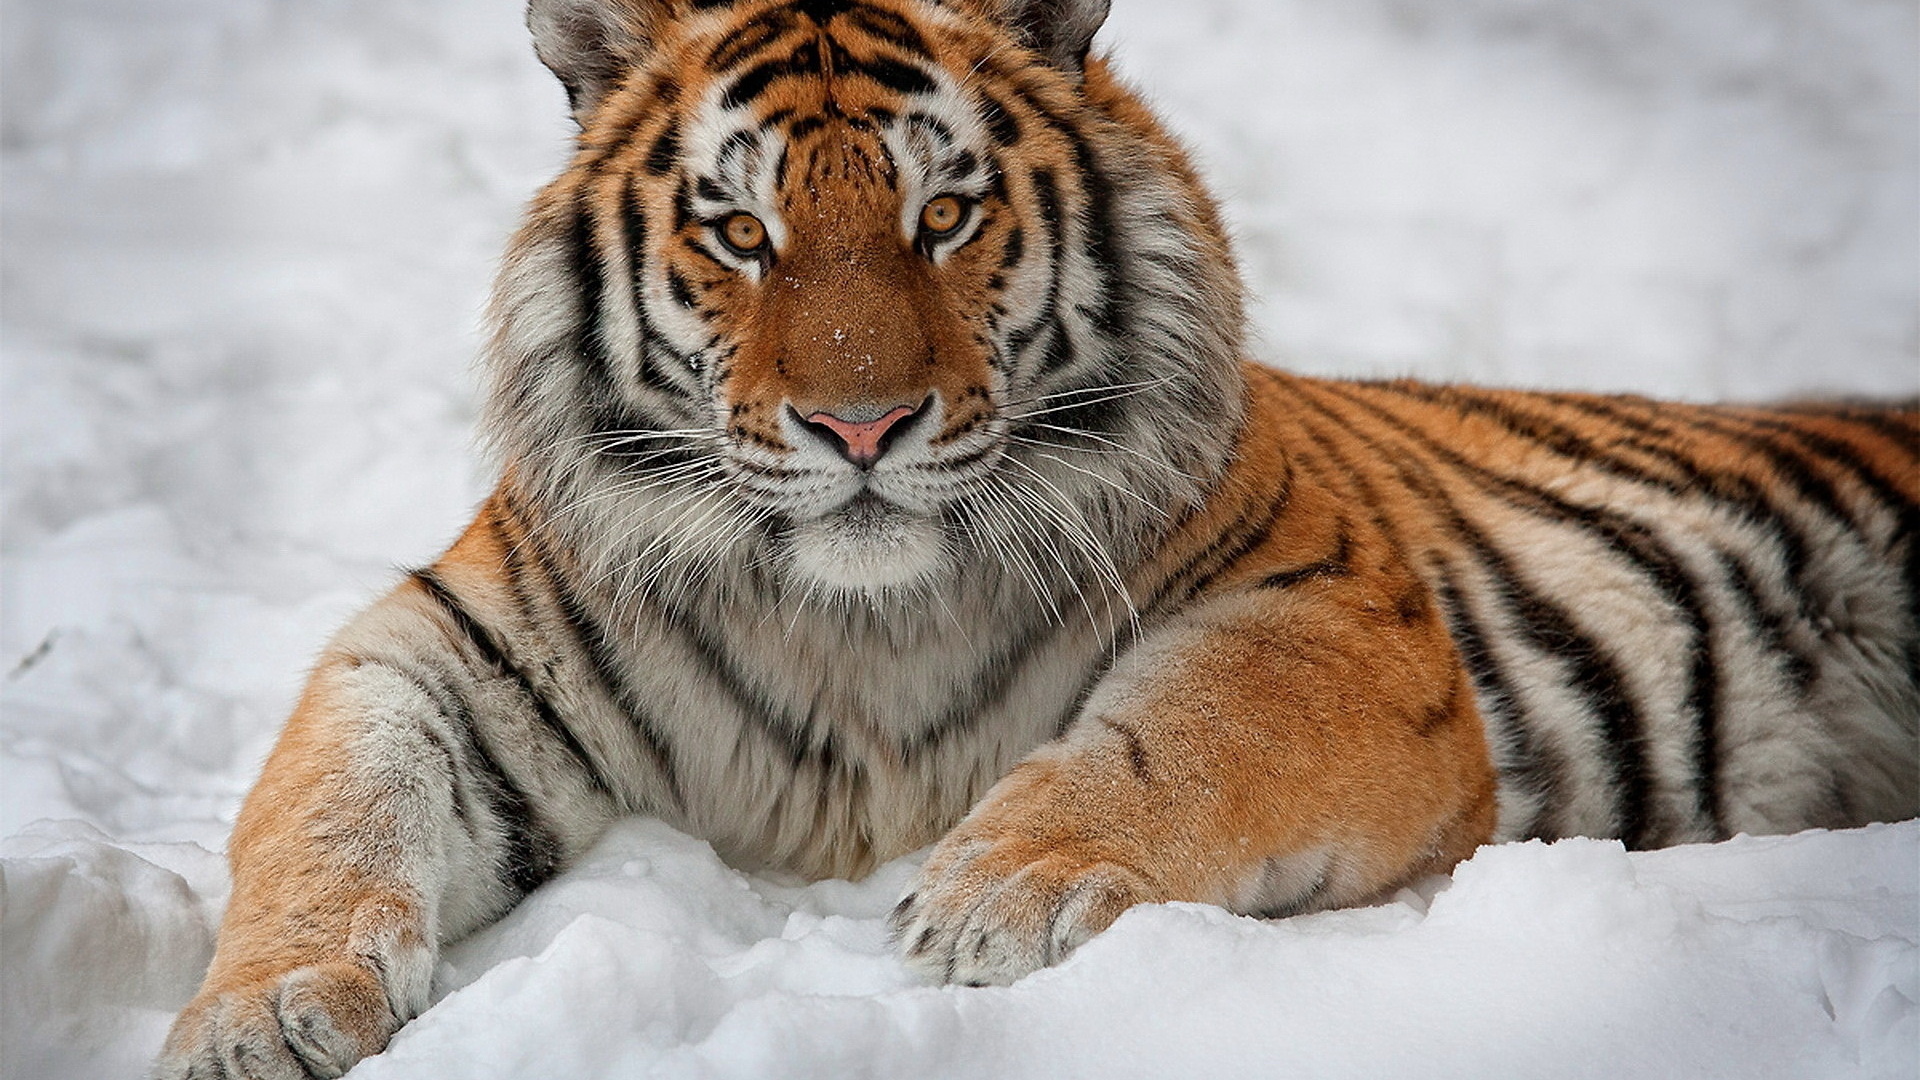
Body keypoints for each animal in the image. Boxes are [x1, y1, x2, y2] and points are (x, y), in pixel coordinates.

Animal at [155, 0, 1920, 1075]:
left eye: (943, 214)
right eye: (743, 230)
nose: (860, 429)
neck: (856, 623)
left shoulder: (1333, 613)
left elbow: (1178, 737)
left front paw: (997, 895)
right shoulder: (441, 649)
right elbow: (330, 812)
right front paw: (262, 1013)